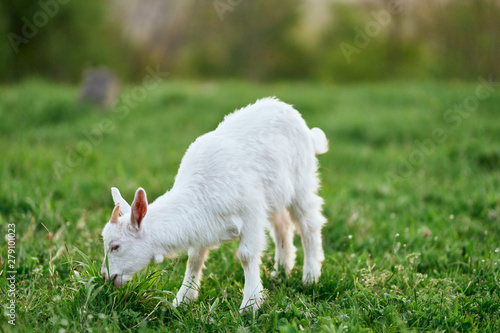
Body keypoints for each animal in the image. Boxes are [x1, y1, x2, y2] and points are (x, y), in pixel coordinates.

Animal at [101, 96, 328, 312]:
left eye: (115, 246)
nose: (105, 277)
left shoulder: (251, 212)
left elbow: (246, 255)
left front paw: (250, 304)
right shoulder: (202, 226)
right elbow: (194, 259)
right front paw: (183, 300)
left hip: (301, 180)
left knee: (308, 224)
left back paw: (310, 276)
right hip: (274, 194)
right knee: (282, 225)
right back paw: (281, 271)